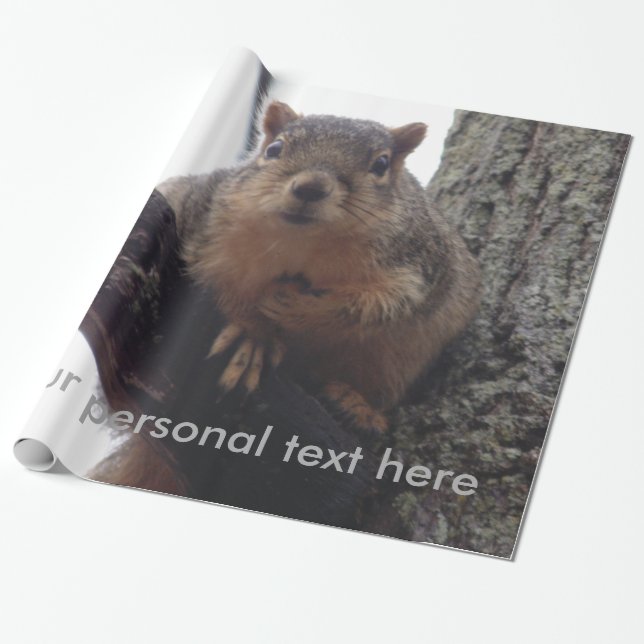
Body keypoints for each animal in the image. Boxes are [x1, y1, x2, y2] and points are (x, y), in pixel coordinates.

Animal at [157, 101, 481, 434]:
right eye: (274, 148)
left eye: (381, 164)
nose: (311, 187)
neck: (305, 242)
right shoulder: (206, 227)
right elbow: (215, 282)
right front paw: (252, 334)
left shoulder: (419, 269)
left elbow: (376, 306)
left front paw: (297, 307)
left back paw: (356, 405)